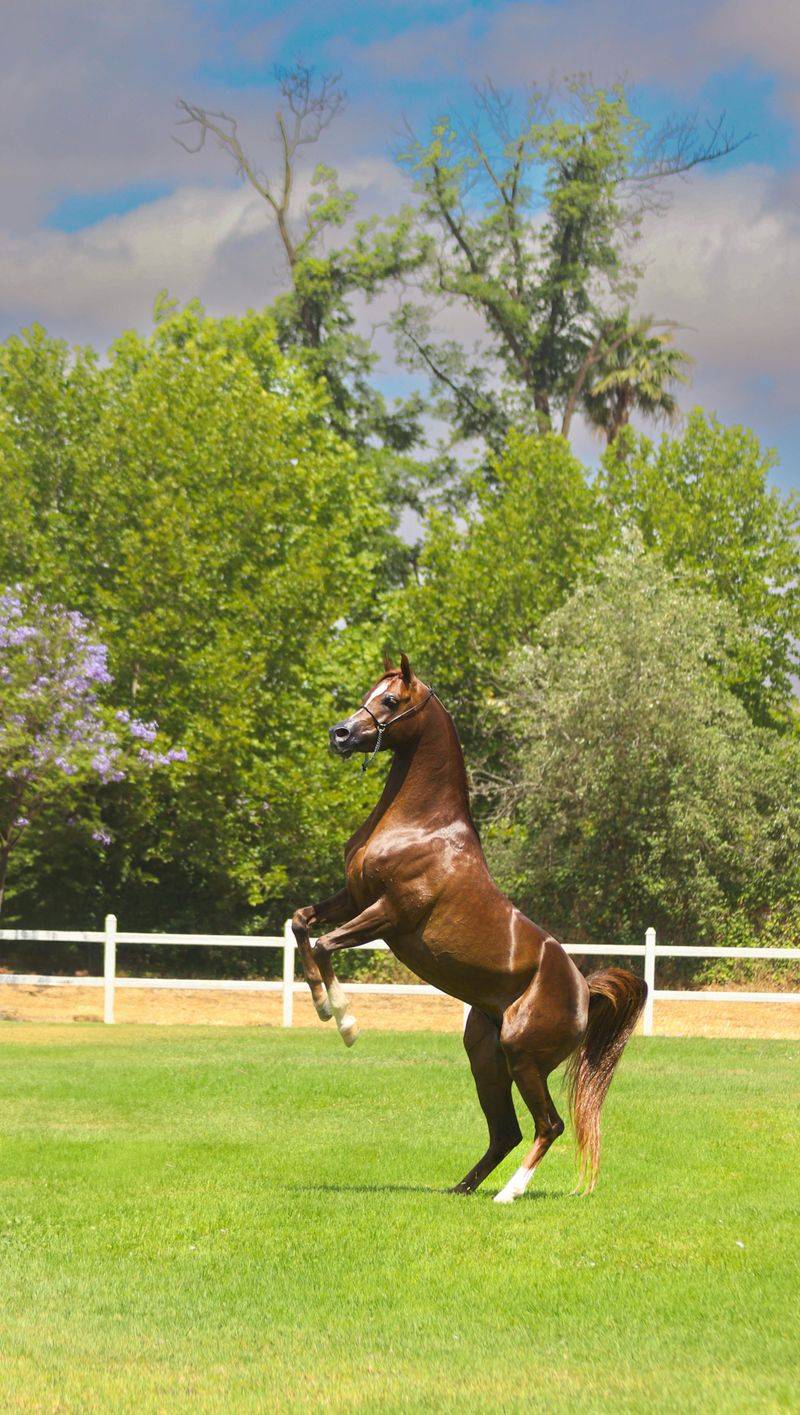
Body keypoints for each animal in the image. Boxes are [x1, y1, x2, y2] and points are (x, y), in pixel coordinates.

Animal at [290, 656, 645, 1199]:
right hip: (486, 1057)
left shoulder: (390, 913)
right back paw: (462, 1189)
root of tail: (586, 991)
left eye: (390, 700)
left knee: (548, 1125)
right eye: (369, 691)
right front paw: (321, 1006)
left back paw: (507, 1194)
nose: (341, 734)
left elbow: (326, 944)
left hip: (523, 1057)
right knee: (507, 1131)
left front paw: (345, 1023)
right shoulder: (353, 898)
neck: (421, 826)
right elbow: (301, 924)